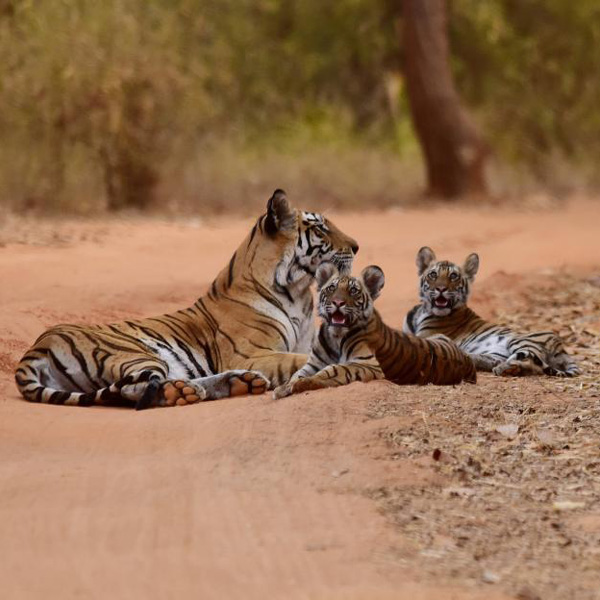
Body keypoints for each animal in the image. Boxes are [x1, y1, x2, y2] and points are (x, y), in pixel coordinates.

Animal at [14, 190, 358, 410]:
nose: (356, 246)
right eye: (320, 228)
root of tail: (37, 346)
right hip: (134, 353)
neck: (298, 292)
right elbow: (299, 360)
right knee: (133, 389)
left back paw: (238, 384)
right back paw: (187, 391)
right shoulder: (252, 353)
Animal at [274, 262, 476, 398]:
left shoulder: (368, 364)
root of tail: (468, 362)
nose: (338, 302)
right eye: (331, 288)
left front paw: (301, 384)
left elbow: (334, 369)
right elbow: (297, 374)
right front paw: (284, 387)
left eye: (353, 291)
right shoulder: (313, 363)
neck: (335, 336)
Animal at [404, 246, 580, 378]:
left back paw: (504, 368)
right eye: (433, 274)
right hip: (496, 353)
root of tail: (560, 346)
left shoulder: (425, 335)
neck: (422, 311)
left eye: (453, 276)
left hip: (520, 341)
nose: (441, 288)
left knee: (530, 361)